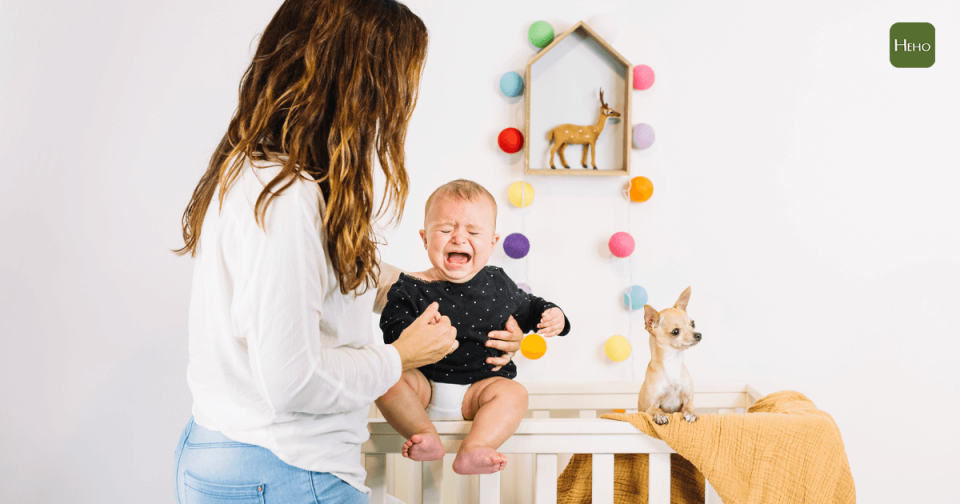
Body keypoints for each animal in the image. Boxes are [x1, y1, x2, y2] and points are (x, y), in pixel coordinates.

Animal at [640, 288, 700, 426]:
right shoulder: (651, 405)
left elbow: (689, 407)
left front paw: (691, 414)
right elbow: (656, 410)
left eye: (693, 324)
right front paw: (661, 417)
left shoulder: (688, 400)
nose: (699, 335)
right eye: (675, 332)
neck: (672, 361)